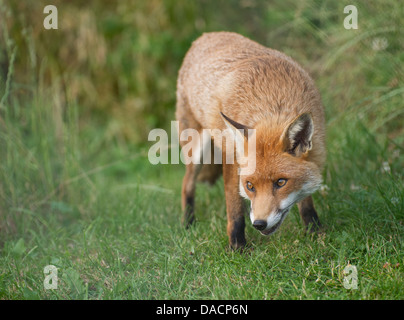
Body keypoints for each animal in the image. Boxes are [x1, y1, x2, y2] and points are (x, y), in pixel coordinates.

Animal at [175, 31, 326, 249]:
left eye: (281, 182)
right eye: (250, 186)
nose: (259, 224)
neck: (272, 100)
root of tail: (204, 36)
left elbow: (305, 202)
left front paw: (315, 232)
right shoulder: (231, 159)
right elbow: (235, 209)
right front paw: (237, 247)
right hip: (197, 150)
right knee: (187, 184)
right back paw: (188, 223)